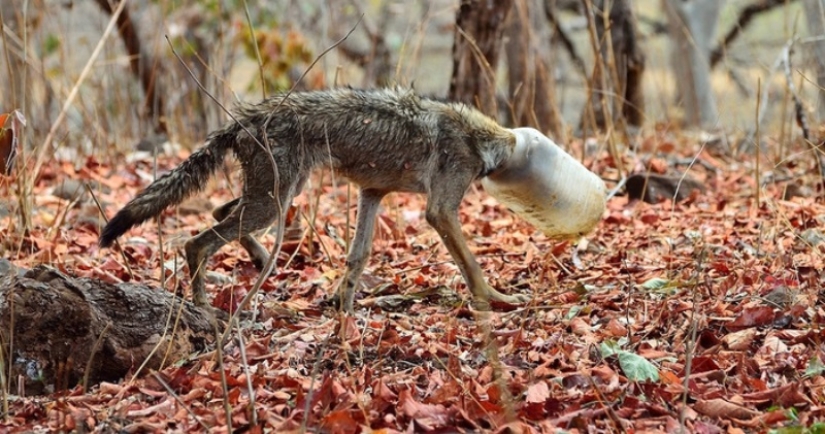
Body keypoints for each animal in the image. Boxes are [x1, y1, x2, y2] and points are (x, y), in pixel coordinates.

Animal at [99, 87, 600, 311]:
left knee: (219, 215)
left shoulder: (371, 194)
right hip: (273, 202)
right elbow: (472, 266)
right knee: (196, 241)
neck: (479, 139)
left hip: (275, 199)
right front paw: (496, 299)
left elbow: (357, 257)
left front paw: (342, 302)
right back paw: (204, 306)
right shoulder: (439, 212)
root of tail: (243, 119)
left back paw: (261, 260)